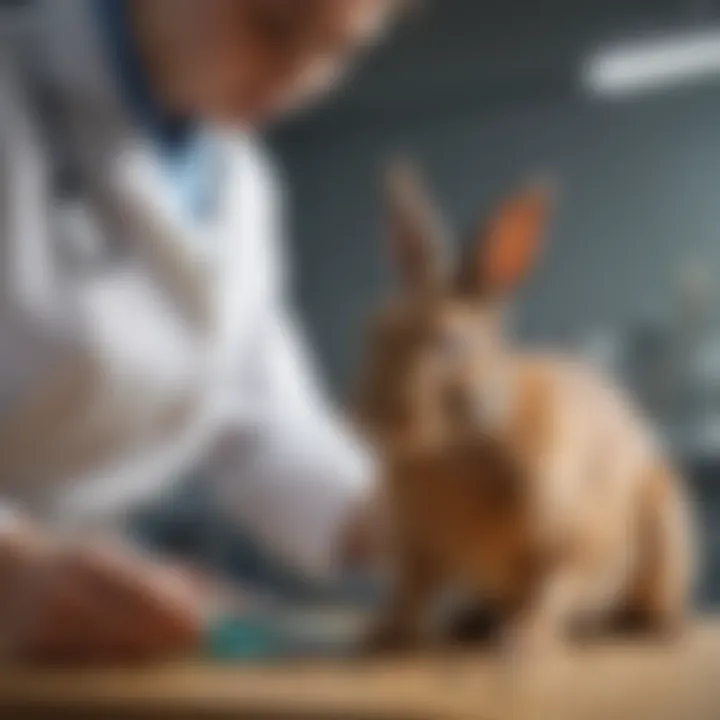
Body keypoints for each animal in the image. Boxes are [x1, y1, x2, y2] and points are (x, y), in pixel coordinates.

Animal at [352, 163, 692, 660]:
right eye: (377, 329)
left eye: (448, 342)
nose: (370, 418)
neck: (457, 449)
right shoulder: (420, 552)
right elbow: (409, 593)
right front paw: (382, 635)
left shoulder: (577, 545)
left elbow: (553, 591)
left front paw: (523, 643)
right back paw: (470, 623)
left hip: (664, 527)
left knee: (643, 599)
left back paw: (662, 627)